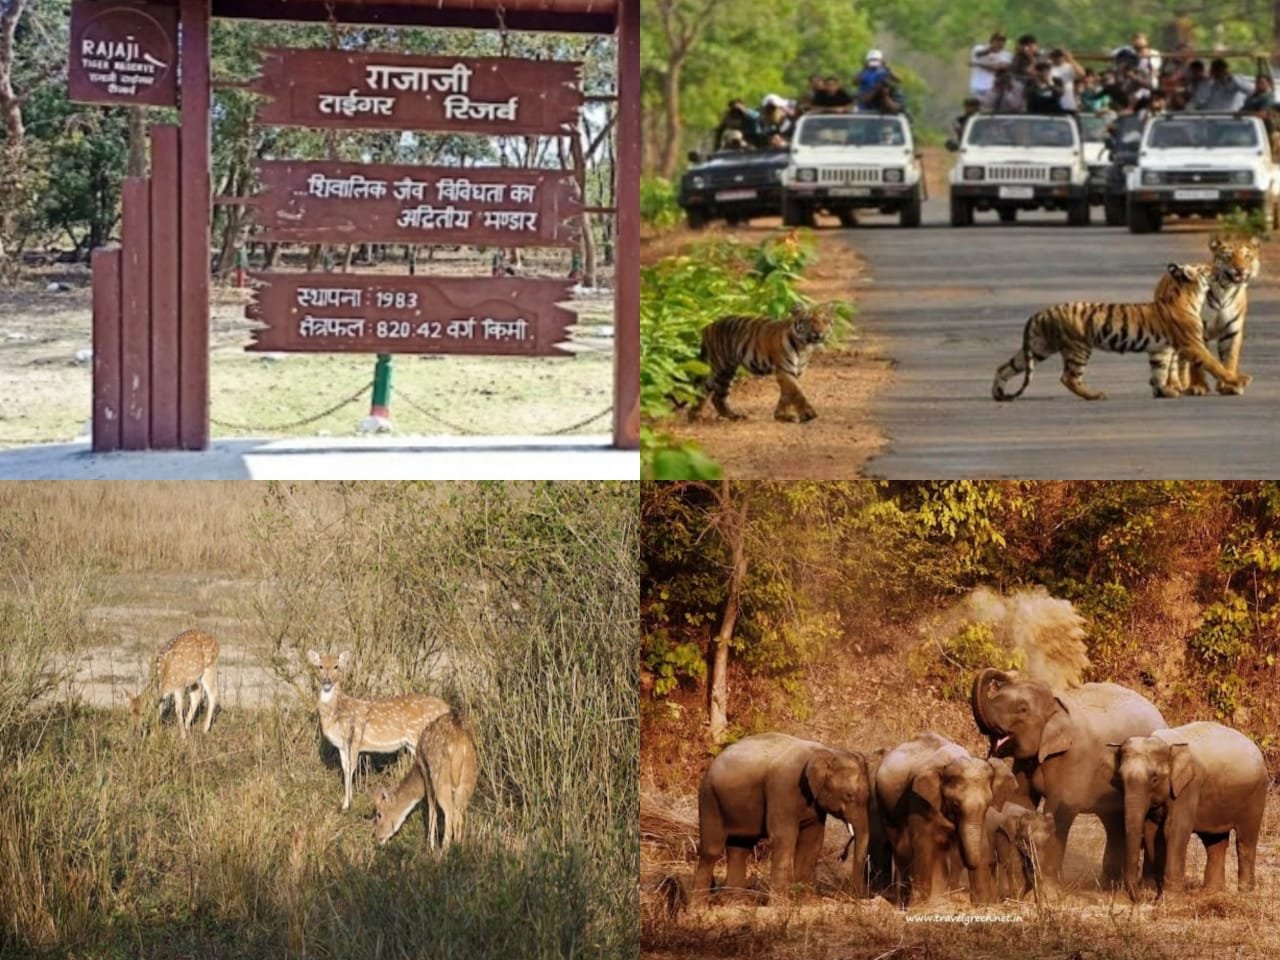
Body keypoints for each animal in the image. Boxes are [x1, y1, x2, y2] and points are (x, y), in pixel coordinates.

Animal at [688, 302, 836, 423]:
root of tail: (707, 327)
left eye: (824, 321)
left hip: (725, 370)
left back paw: (723, 416)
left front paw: (782, 415)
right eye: (808, 321)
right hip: (721, 368)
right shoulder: (784, 371)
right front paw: (808, 414)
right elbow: (797, 392)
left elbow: (787, 394)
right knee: (709, 392)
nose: (819, 333)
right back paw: (701, 416)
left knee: (710, 393)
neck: (803, 347)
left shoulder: (795, 372)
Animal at [991, 262, 1252, 401]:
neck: (1189, 296)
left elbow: (1159, 371)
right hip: (1078, 347)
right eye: (1205, 268)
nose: (1218, 268)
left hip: (1038, 347)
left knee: (1004, 367)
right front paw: (1239, 380)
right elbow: (1214, 364)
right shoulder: (1192, 343)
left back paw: (998, 393)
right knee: (1069, 377)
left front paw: (1164, 391)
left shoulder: (1161, 349)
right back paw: (1095, 395)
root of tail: (1041, 313)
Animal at [1153, 235, 1260, 397]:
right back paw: (1173, 386)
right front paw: (1198, 386)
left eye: (1247, 256)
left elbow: (1230, 359)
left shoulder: (1232, 331)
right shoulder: (1198, 331)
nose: (1240, 269)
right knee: (1172, 361)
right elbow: (1198, 363)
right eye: (1228, 257)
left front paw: (1229, 386)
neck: (1225, 290)